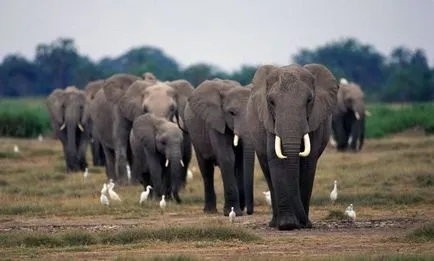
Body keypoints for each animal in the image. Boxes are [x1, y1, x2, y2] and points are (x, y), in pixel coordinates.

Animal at [184, 77, 254, 215]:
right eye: (231, 113)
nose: (249, 212)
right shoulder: (215, 121)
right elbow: (227, 157)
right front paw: (233, 212)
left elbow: (240, 160)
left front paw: (237, 211)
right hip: (194, 134)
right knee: (206, 170)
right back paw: (210, 211)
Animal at [248, 63, 340, 230]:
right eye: (271, 102)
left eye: (309, 100)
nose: (305, 223)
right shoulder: (270, 122)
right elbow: (276, 160)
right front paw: (287, 225)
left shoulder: (314, 121)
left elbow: (308, 162)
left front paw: (302, 224)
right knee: (268, 172)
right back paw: (274, 223)